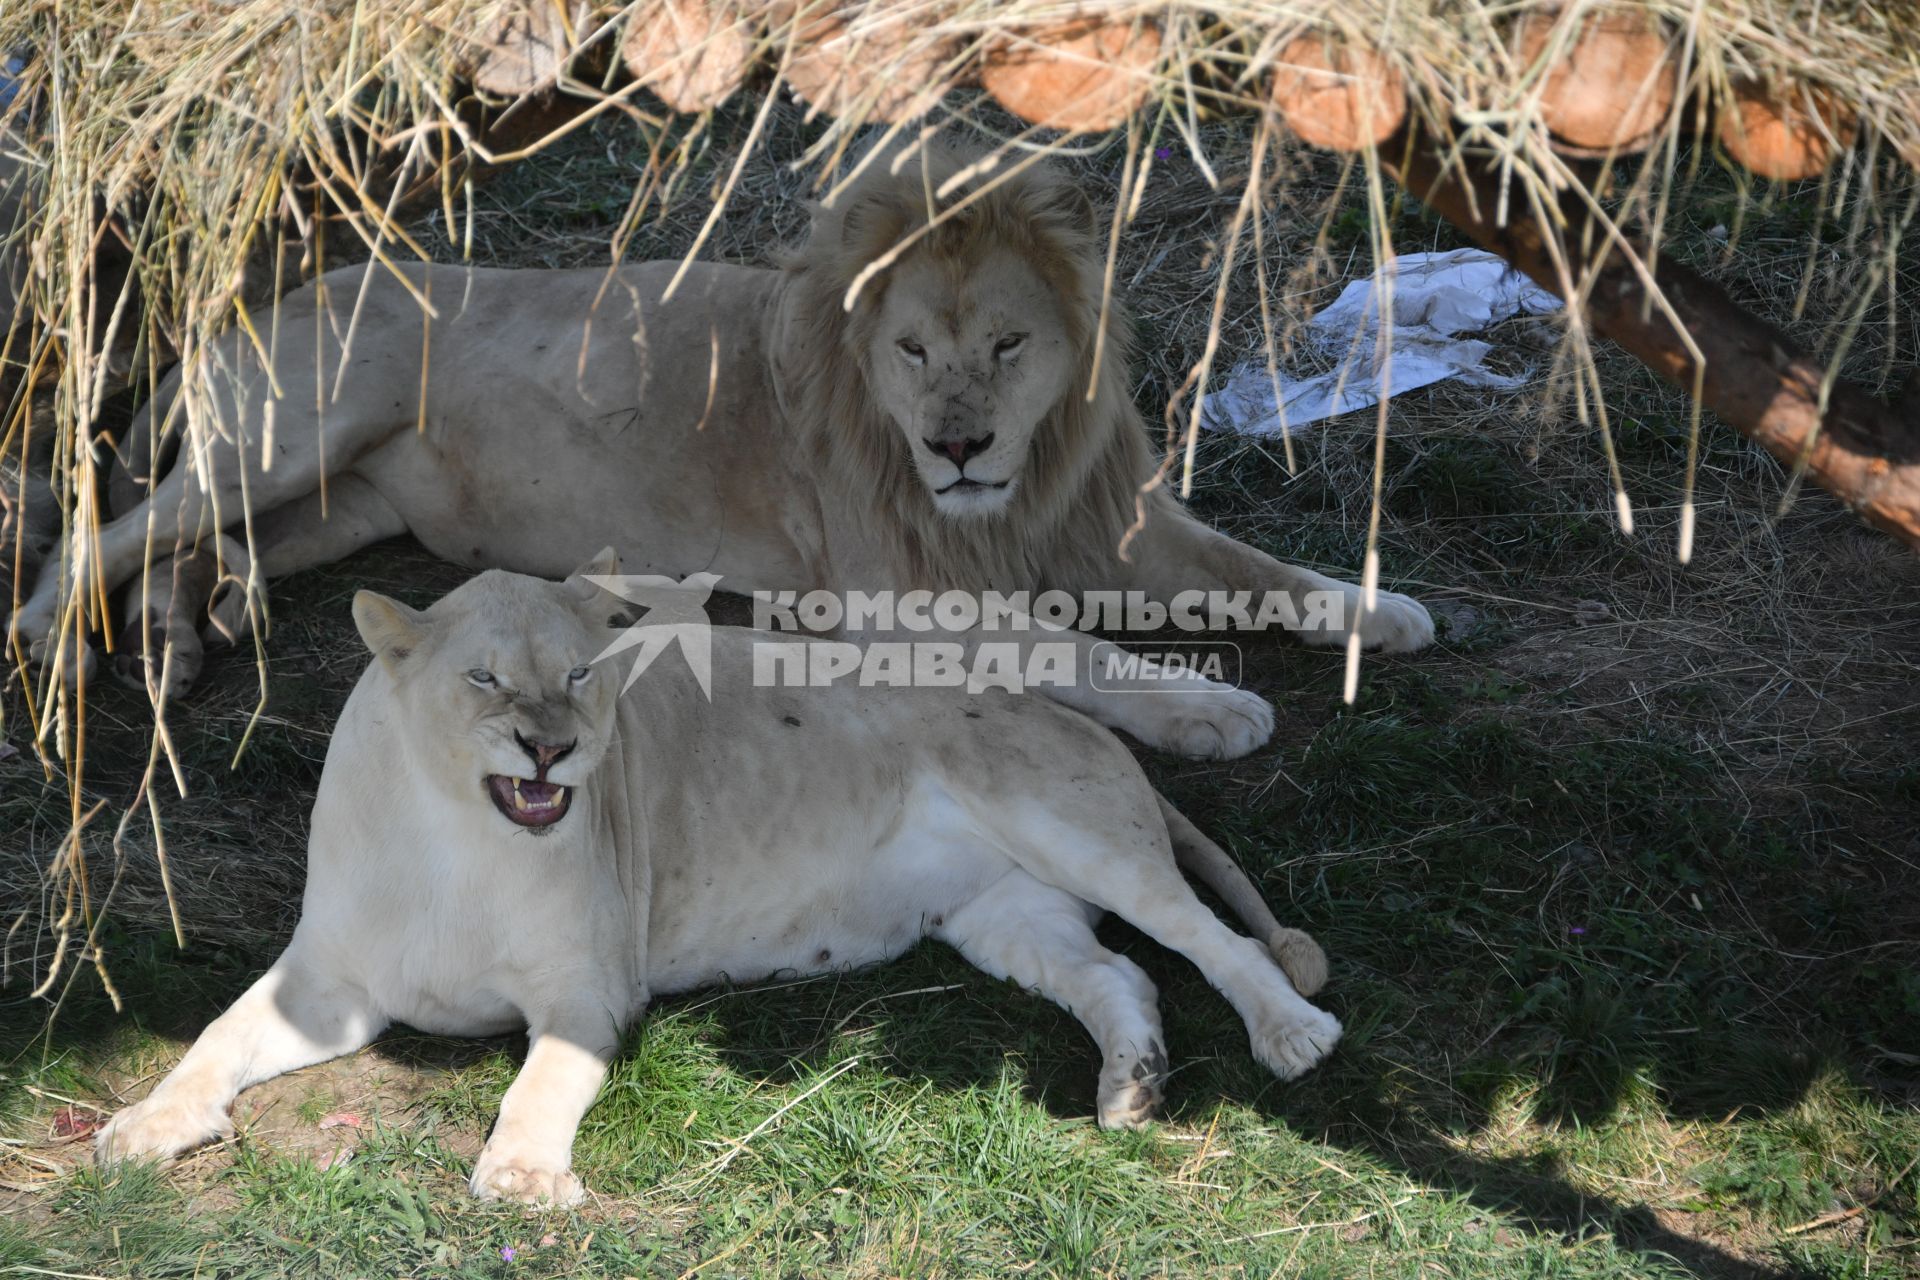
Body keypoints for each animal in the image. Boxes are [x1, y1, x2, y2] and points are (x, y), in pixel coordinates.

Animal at [15, 141, 1428, 759]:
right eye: (913, 351)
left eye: (1009, 344)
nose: (959, 447)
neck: (1011, 486)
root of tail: (252, 300)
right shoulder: (895, 599)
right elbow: (1070, 649)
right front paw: (1215, 706)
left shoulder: (1109, 520)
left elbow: (1255, 569)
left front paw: (1379, 609)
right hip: (295, 429)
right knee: (110, 529)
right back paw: (54, 639)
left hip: (341, 502)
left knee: (193, 546)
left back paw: (197, 631)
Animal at [97, 556, 1344, 1205]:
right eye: (484, 679)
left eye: (582, 674)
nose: (550, 750)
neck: (462, 838)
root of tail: (1063, 711)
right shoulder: (328, 982)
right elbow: (211, 1037)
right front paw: (142, 1125)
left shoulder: (591, 988)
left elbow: (541, 1082)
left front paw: (524, 1176)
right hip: (1006, 913)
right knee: (1120, 976)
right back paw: (1131, 1089)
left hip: (1074, 826)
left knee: (1213, 941)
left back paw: (1291, 1033)